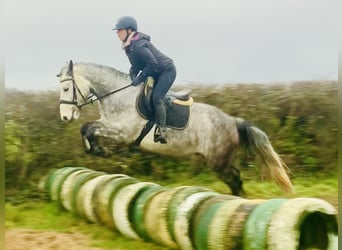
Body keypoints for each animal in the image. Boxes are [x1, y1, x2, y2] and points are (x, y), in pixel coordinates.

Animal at [57, 60, 292, 195]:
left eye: (67, 88)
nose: (65, 117)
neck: (118, 94)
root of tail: (233, 122)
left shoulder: (122, 132)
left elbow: (88, 128)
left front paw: (101, 151)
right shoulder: (109, 125)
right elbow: (86, 128)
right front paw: (95, 149)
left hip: (219, 161)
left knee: (234, 178)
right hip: (217, 161)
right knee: (234, 179)